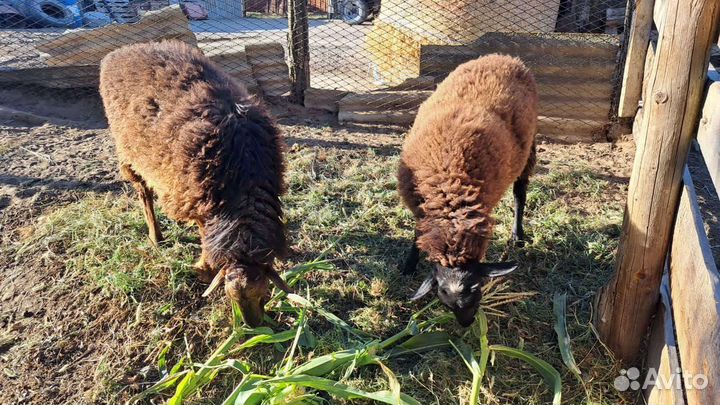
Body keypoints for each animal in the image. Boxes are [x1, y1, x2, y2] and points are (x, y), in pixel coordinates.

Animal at [99, 40, 290, 326]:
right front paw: (203, 267)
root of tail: (121, 50)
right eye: (230, 299)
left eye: (264, 293)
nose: (253, 327)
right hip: (128, 153)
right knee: (144, 193)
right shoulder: (200, 202)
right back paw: (156, 237)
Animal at [397, 54, 538, 327]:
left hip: (530, 146)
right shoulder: (420, 208)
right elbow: (417, 232)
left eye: (477, 288)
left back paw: (518, 235)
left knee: (520, 194)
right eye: (441, 294)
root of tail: (505, 56)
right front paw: (408, 264)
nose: (466, 323)